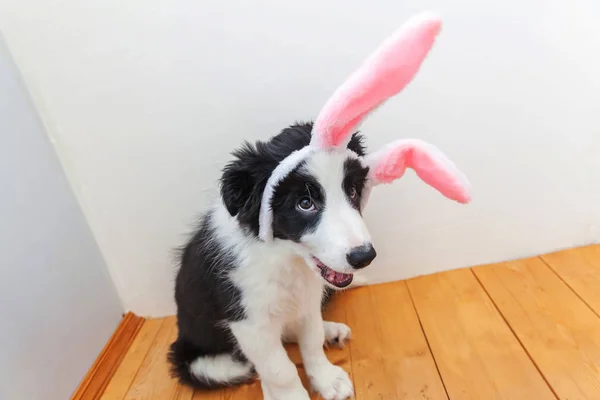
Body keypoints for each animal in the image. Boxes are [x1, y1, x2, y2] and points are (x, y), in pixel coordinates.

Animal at [169, 122, 370, 400]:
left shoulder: (308, 297)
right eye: (304, 203)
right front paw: (291, 395)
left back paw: (330, 331)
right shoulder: (250, 323)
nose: (365, 256)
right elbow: (280, 370)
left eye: (351, 191)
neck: (285, 258)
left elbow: (312, 340)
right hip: (207, 365)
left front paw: (327, 379)